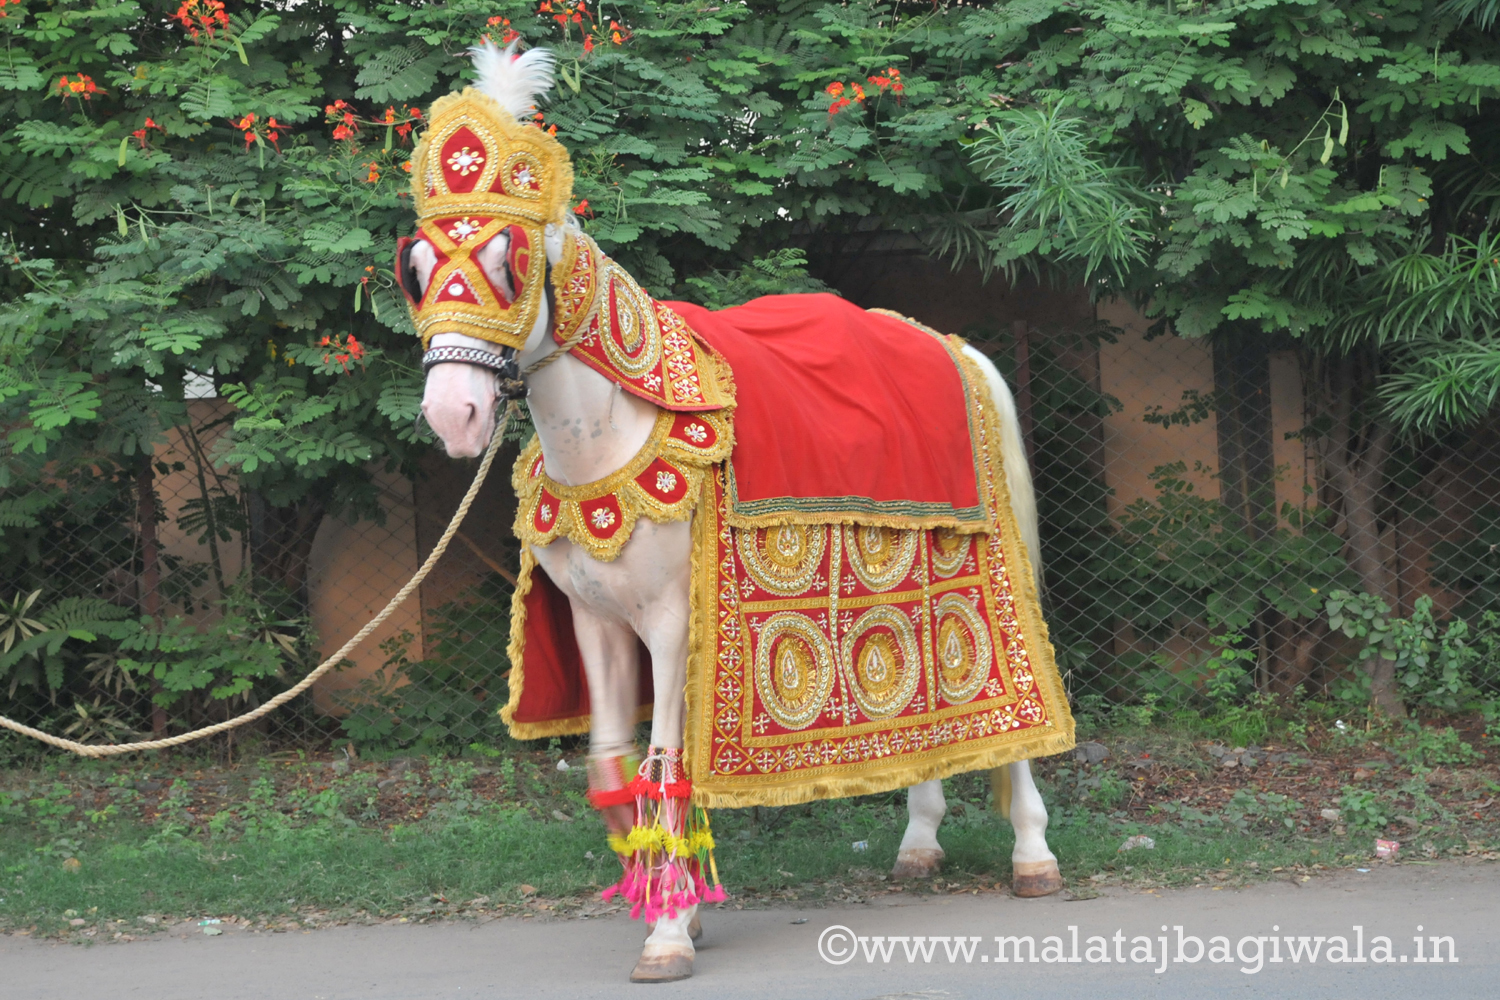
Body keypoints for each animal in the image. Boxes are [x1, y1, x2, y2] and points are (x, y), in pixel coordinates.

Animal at [406, 43, 1065, 983]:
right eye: (418, 269)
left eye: (509, 264)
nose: (453, 414)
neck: (617, 432)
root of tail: (949, 343)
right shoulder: (597, 623)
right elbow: (612, 767)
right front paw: (663, 891)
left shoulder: (676, 624)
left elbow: (668, 760)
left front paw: (668, 930)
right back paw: (920, 840)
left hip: (991, 570)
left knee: (1020, 698)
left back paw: (1032, 854)